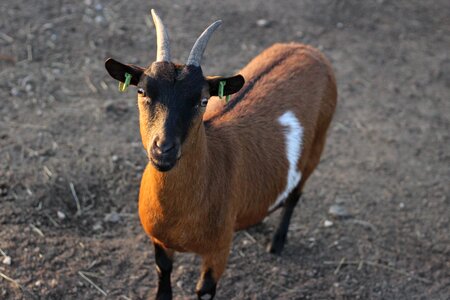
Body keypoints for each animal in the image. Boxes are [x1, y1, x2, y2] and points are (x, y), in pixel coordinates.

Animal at [105, 9, 338, 300]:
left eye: (203, 100)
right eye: (142, 91)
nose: (163, 149)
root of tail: (308, 50)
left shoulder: (218, 251)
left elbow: (204, 290)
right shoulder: (158, 240)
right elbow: (163, 272)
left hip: (317, 146)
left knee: (295, 194)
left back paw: (277, 243)